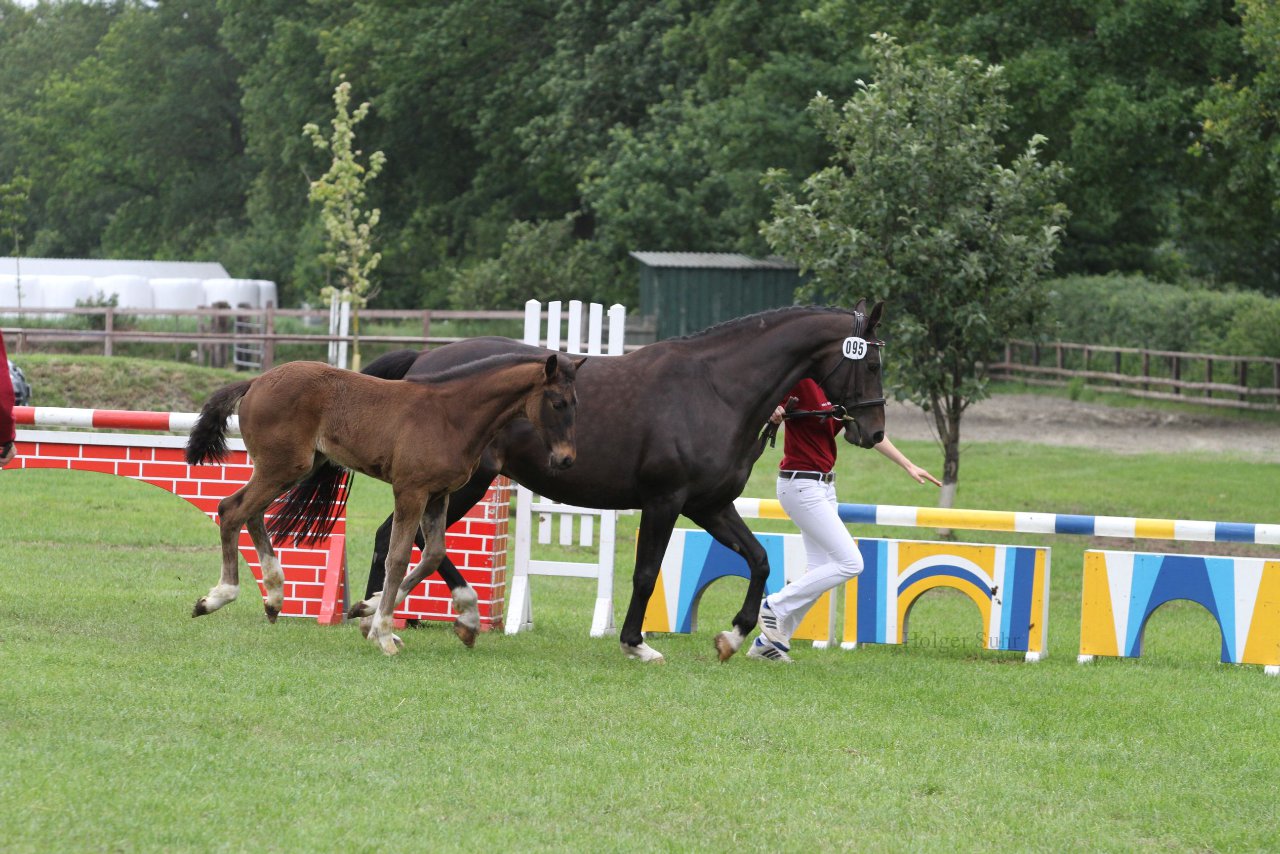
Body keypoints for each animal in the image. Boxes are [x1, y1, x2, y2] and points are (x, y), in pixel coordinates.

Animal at [183, 353, 583, 655]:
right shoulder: (410, 490)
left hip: (296, 467)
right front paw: (384, 633)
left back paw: (274, 598)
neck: (452, 416)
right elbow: (398, 556)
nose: (566, 460)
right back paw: (218, 597)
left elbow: (432, 555)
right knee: (231, 510)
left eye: (576, 403)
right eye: (557, 403)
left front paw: (367, 610)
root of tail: (256, 381)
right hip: (282, 466)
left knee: (250, 513)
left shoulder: (438, 494)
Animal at [350, 303, 890, 665]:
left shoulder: (710, 506)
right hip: (462, 484)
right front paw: (636, 643)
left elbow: (759, 561)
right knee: (411, 540)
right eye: (872, 363)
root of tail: (422, 365)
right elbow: (646, 573)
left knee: (402, 539)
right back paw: (419, 616)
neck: (715, 390)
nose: (873, 432)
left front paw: (732, 637)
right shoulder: (665, 502)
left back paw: (382, 614)